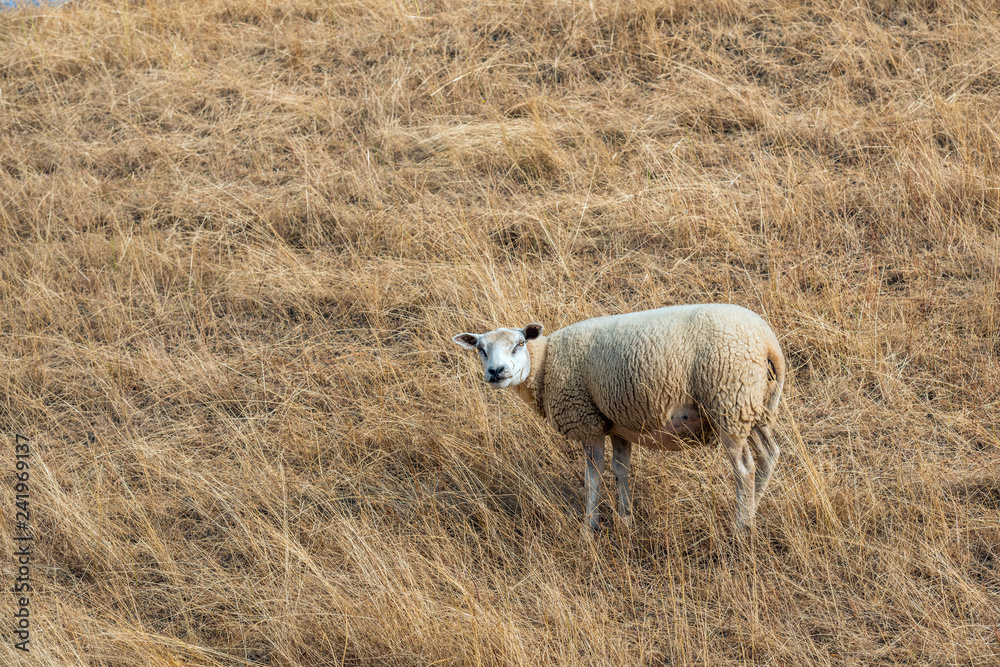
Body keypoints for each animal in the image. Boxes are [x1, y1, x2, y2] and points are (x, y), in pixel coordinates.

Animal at [452, 304, 785, 534]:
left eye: (519, 344)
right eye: (480, 349)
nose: (496, 372)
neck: (545, 363)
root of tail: (768, 342)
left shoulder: (588, 423)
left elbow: (593, 476)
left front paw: (589, 529)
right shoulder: (618, 426)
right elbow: (621, 471)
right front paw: (626, 521)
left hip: (728, 402)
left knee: (744, 470)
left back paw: (741, 526)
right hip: (752, 408)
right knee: (769, 456)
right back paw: (753, 509)